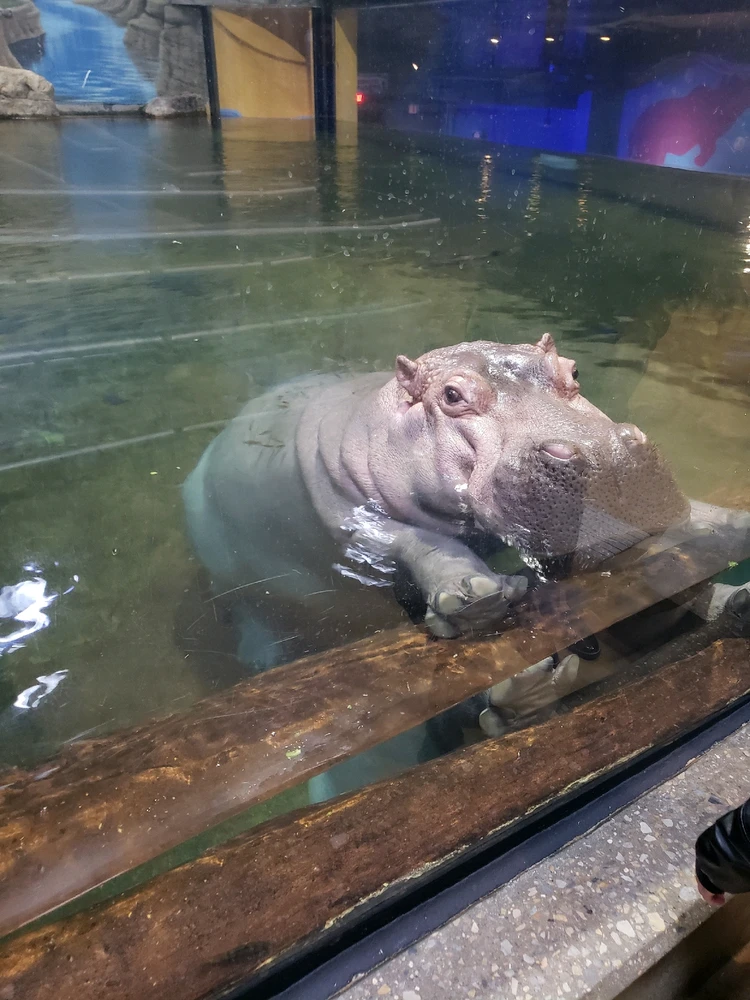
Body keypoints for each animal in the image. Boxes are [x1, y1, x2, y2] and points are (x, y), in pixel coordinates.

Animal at [183, 336, 749, 799]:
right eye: (452, 395)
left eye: (573, 369)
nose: (607, 455)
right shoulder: (356, 522)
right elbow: (422, 541)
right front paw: (477, 593)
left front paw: (723, 522)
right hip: (223, 561)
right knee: (248, 609)